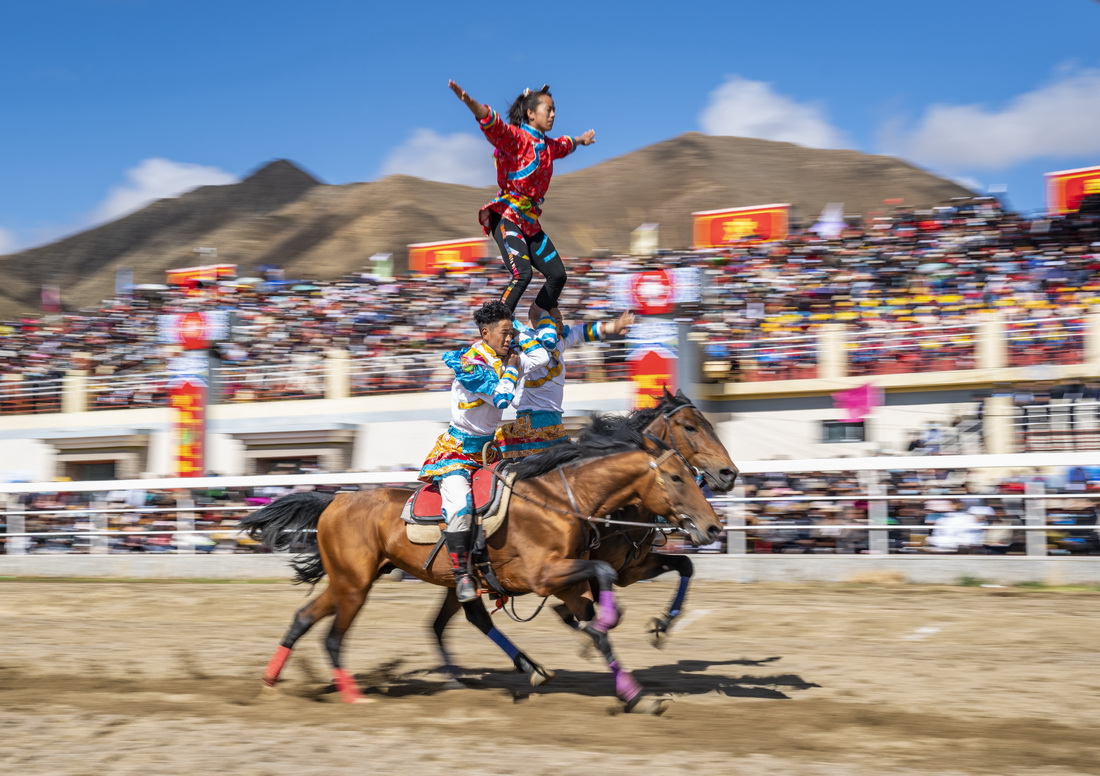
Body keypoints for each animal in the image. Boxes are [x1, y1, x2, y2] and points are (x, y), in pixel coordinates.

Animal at [239, 420, 721, 713]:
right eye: (675, 477)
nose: (713, 525)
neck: (560, 500)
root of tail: (335, 499)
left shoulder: (568, 579)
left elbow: (607, 616)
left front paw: (635, 691)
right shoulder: (543, 576)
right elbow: (602, 592)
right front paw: (607, 628)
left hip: (360, 580)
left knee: (306, 618)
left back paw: (269, 682)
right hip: (355, 585)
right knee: (335, 636)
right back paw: (354, 695)